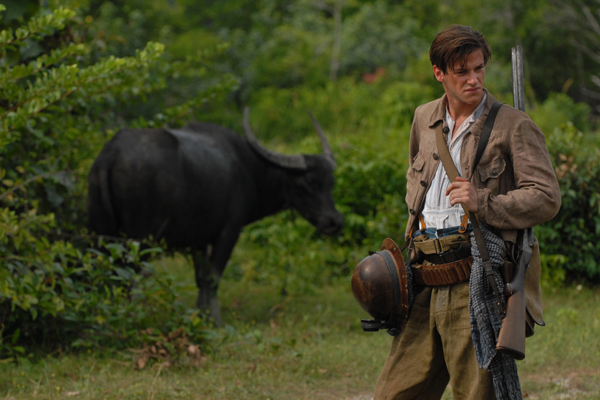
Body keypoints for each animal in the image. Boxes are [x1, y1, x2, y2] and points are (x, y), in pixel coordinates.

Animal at [88, 109, 342, 324]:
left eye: (331, 182)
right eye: (307, 182)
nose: (335, 222)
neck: (248, 168)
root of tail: (111, 154)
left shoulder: (198, 239)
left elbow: (201, 277)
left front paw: (201, 316)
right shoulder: (229, 231)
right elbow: (214, 277)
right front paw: (216, 321)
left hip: (102, 235)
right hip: (141, 240)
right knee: (132, 274)